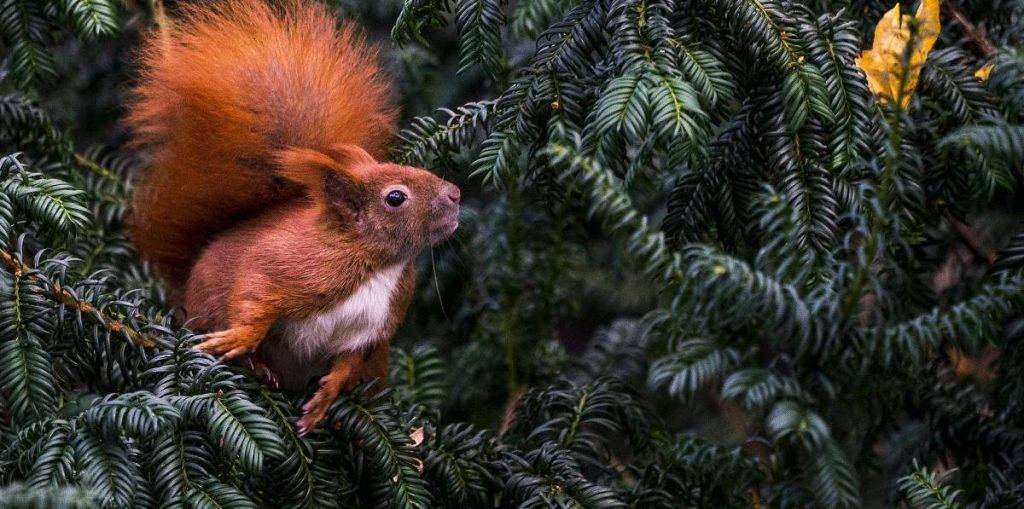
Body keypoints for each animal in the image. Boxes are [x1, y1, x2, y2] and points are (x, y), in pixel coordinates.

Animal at [126, 0, 460, 432]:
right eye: (395, 197)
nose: (456, 194)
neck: (377, 265)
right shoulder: (288, 265)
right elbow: (255, 299)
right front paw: (240, 340)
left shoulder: (371, 331)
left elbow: (347, 363)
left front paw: (324, 400)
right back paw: (256, 365)